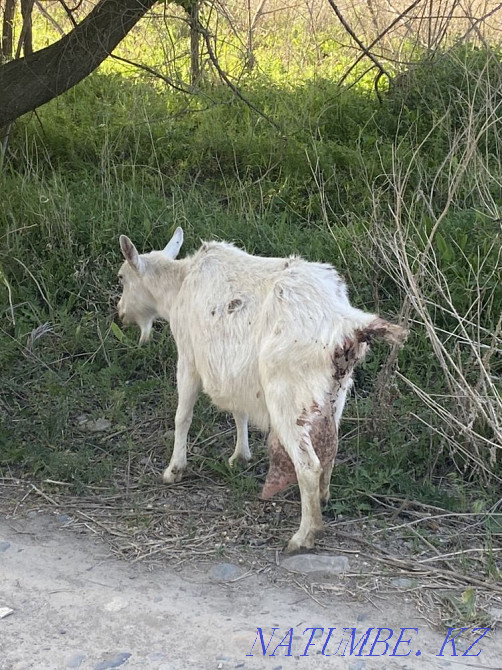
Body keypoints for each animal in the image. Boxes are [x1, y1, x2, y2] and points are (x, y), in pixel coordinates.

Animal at [117, 227, 406, 552]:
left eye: (121, 278)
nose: (120, 314)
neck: (179, 286)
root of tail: (345, 322)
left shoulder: (189, 357)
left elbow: (183, 416)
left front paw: (173, 470)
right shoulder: (235, 370)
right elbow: (238, 411)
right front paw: (240, 456)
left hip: (288, 397)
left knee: (308, 465)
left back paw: (303, 536)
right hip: (337, 392)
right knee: (330, 447)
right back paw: (322, 499)